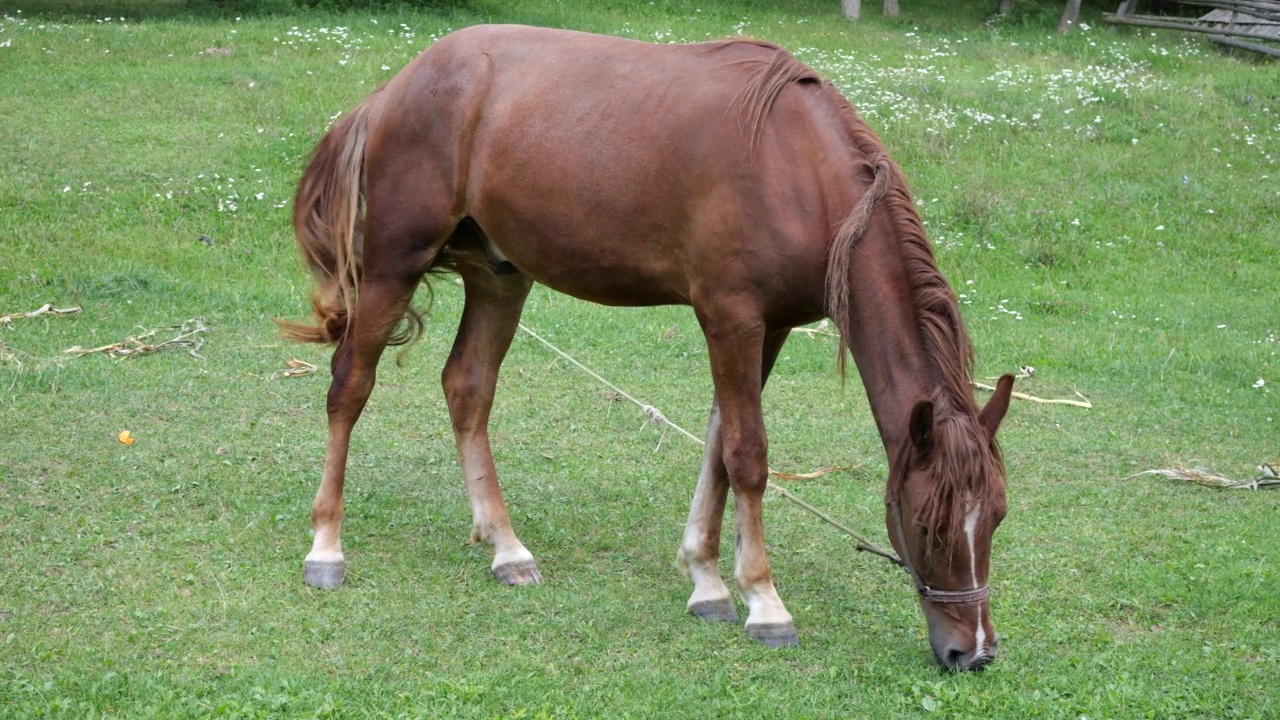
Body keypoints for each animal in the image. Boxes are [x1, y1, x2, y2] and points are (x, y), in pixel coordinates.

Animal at [285, 25, 1013, 671]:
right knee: (349, 384)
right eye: (930, 525)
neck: (796, 164)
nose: (972, 652)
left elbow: (718, 448)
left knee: (467, 387)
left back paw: (506, 547)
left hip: (499, 276)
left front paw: (707, 581)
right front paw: (765, 603)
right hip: (393, 264)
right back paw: (327, 547)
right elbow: (748, 456)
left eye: (997, 518)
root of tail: (396, 88)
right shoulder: (730, 319)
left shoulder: (769, 327)